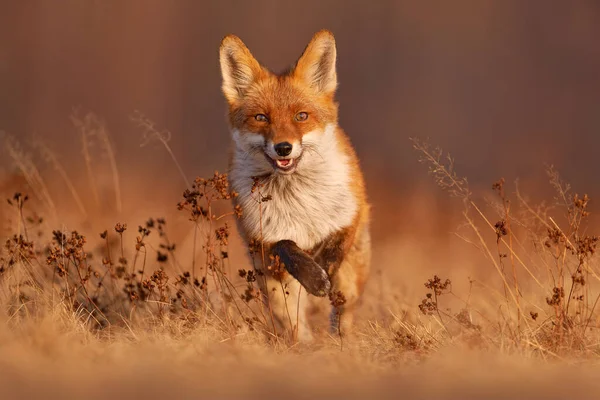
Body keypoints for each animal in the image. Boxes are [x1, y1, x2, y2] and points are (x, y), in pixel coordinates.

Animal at [220, 29, 370, 340]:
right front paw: (313, 276)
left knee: (343, 314)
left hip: (353, 279)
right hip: (273, 292)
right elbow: (286, 246)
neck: (299, 200)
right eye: (261, 117)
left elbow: (334, 247)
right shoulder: (263, 240)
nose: (284, 147)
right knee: (295, 325)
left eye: (301, 116)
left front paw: (321, 273)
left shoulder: (351, 212)